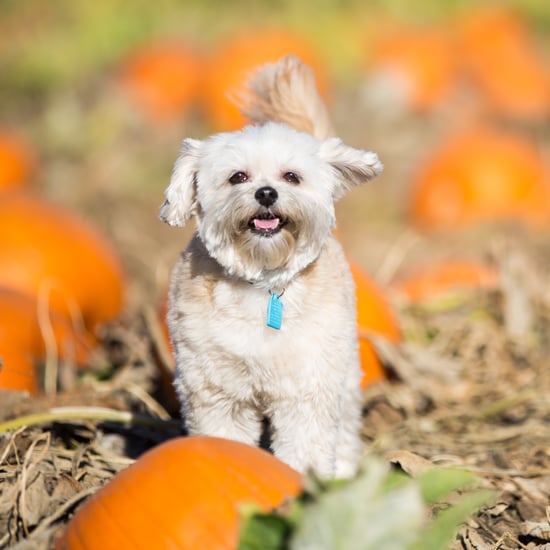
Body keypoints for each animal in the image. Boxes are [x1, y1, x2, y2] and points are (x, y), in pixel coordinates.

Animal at [160, 56, 384, 478]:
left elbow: (307, 447)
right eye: (238, 176)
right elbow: (224, 436)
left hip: (344, 370)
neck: (262, 284)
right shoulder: (216, 390)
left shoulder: (309, 389)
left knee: (346, 424)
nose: (266, 193)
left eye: (291, 176)